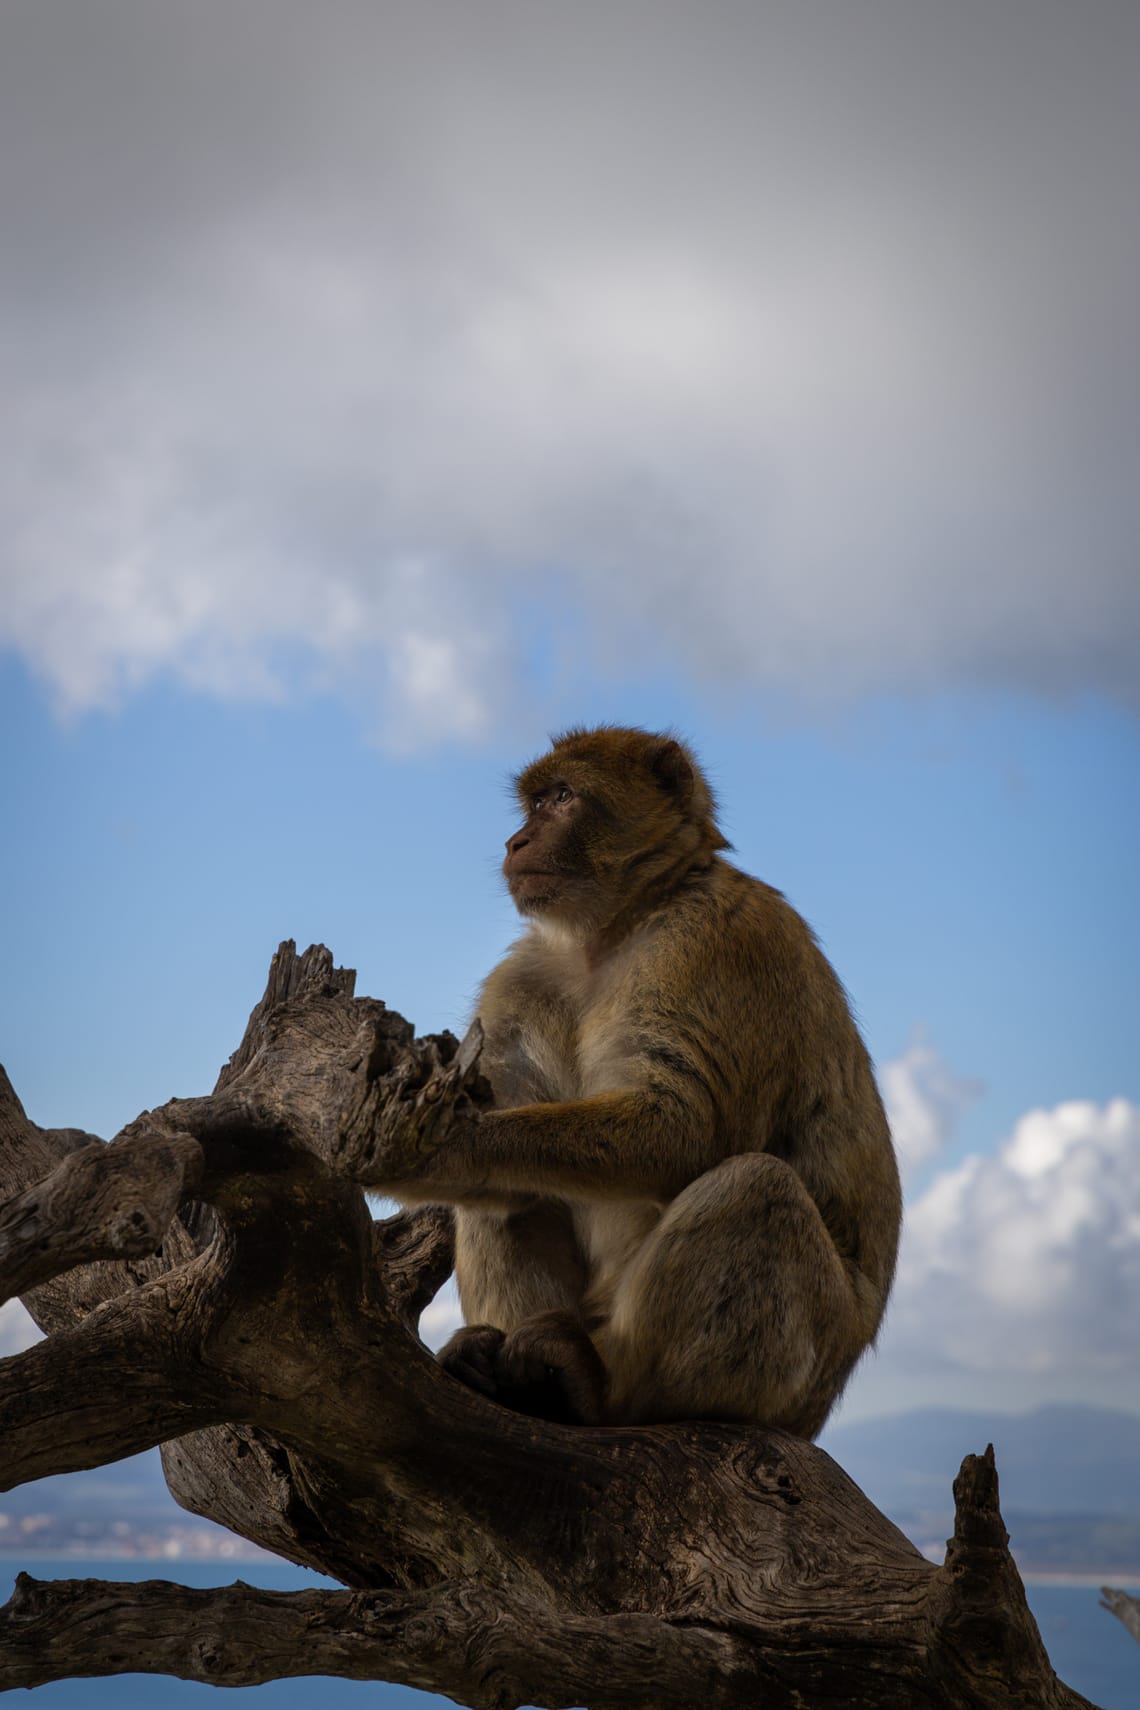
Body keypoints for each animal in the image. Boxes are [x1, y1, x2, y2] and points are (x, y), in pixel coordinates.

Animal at [379, 728, 902, 1436]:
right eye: (535, 801)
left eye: (562, 798)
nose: (517, 841)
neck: (613, 932)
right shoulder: (523, 975)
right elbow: (511, 1150)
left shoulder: (713, 943)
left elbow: (684, 1126)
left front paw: (439, 1145)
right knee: (511, 1196)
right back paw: (506, 1375)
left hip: (800, 1375)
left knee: (757, 1188)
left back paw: (605, 1396)